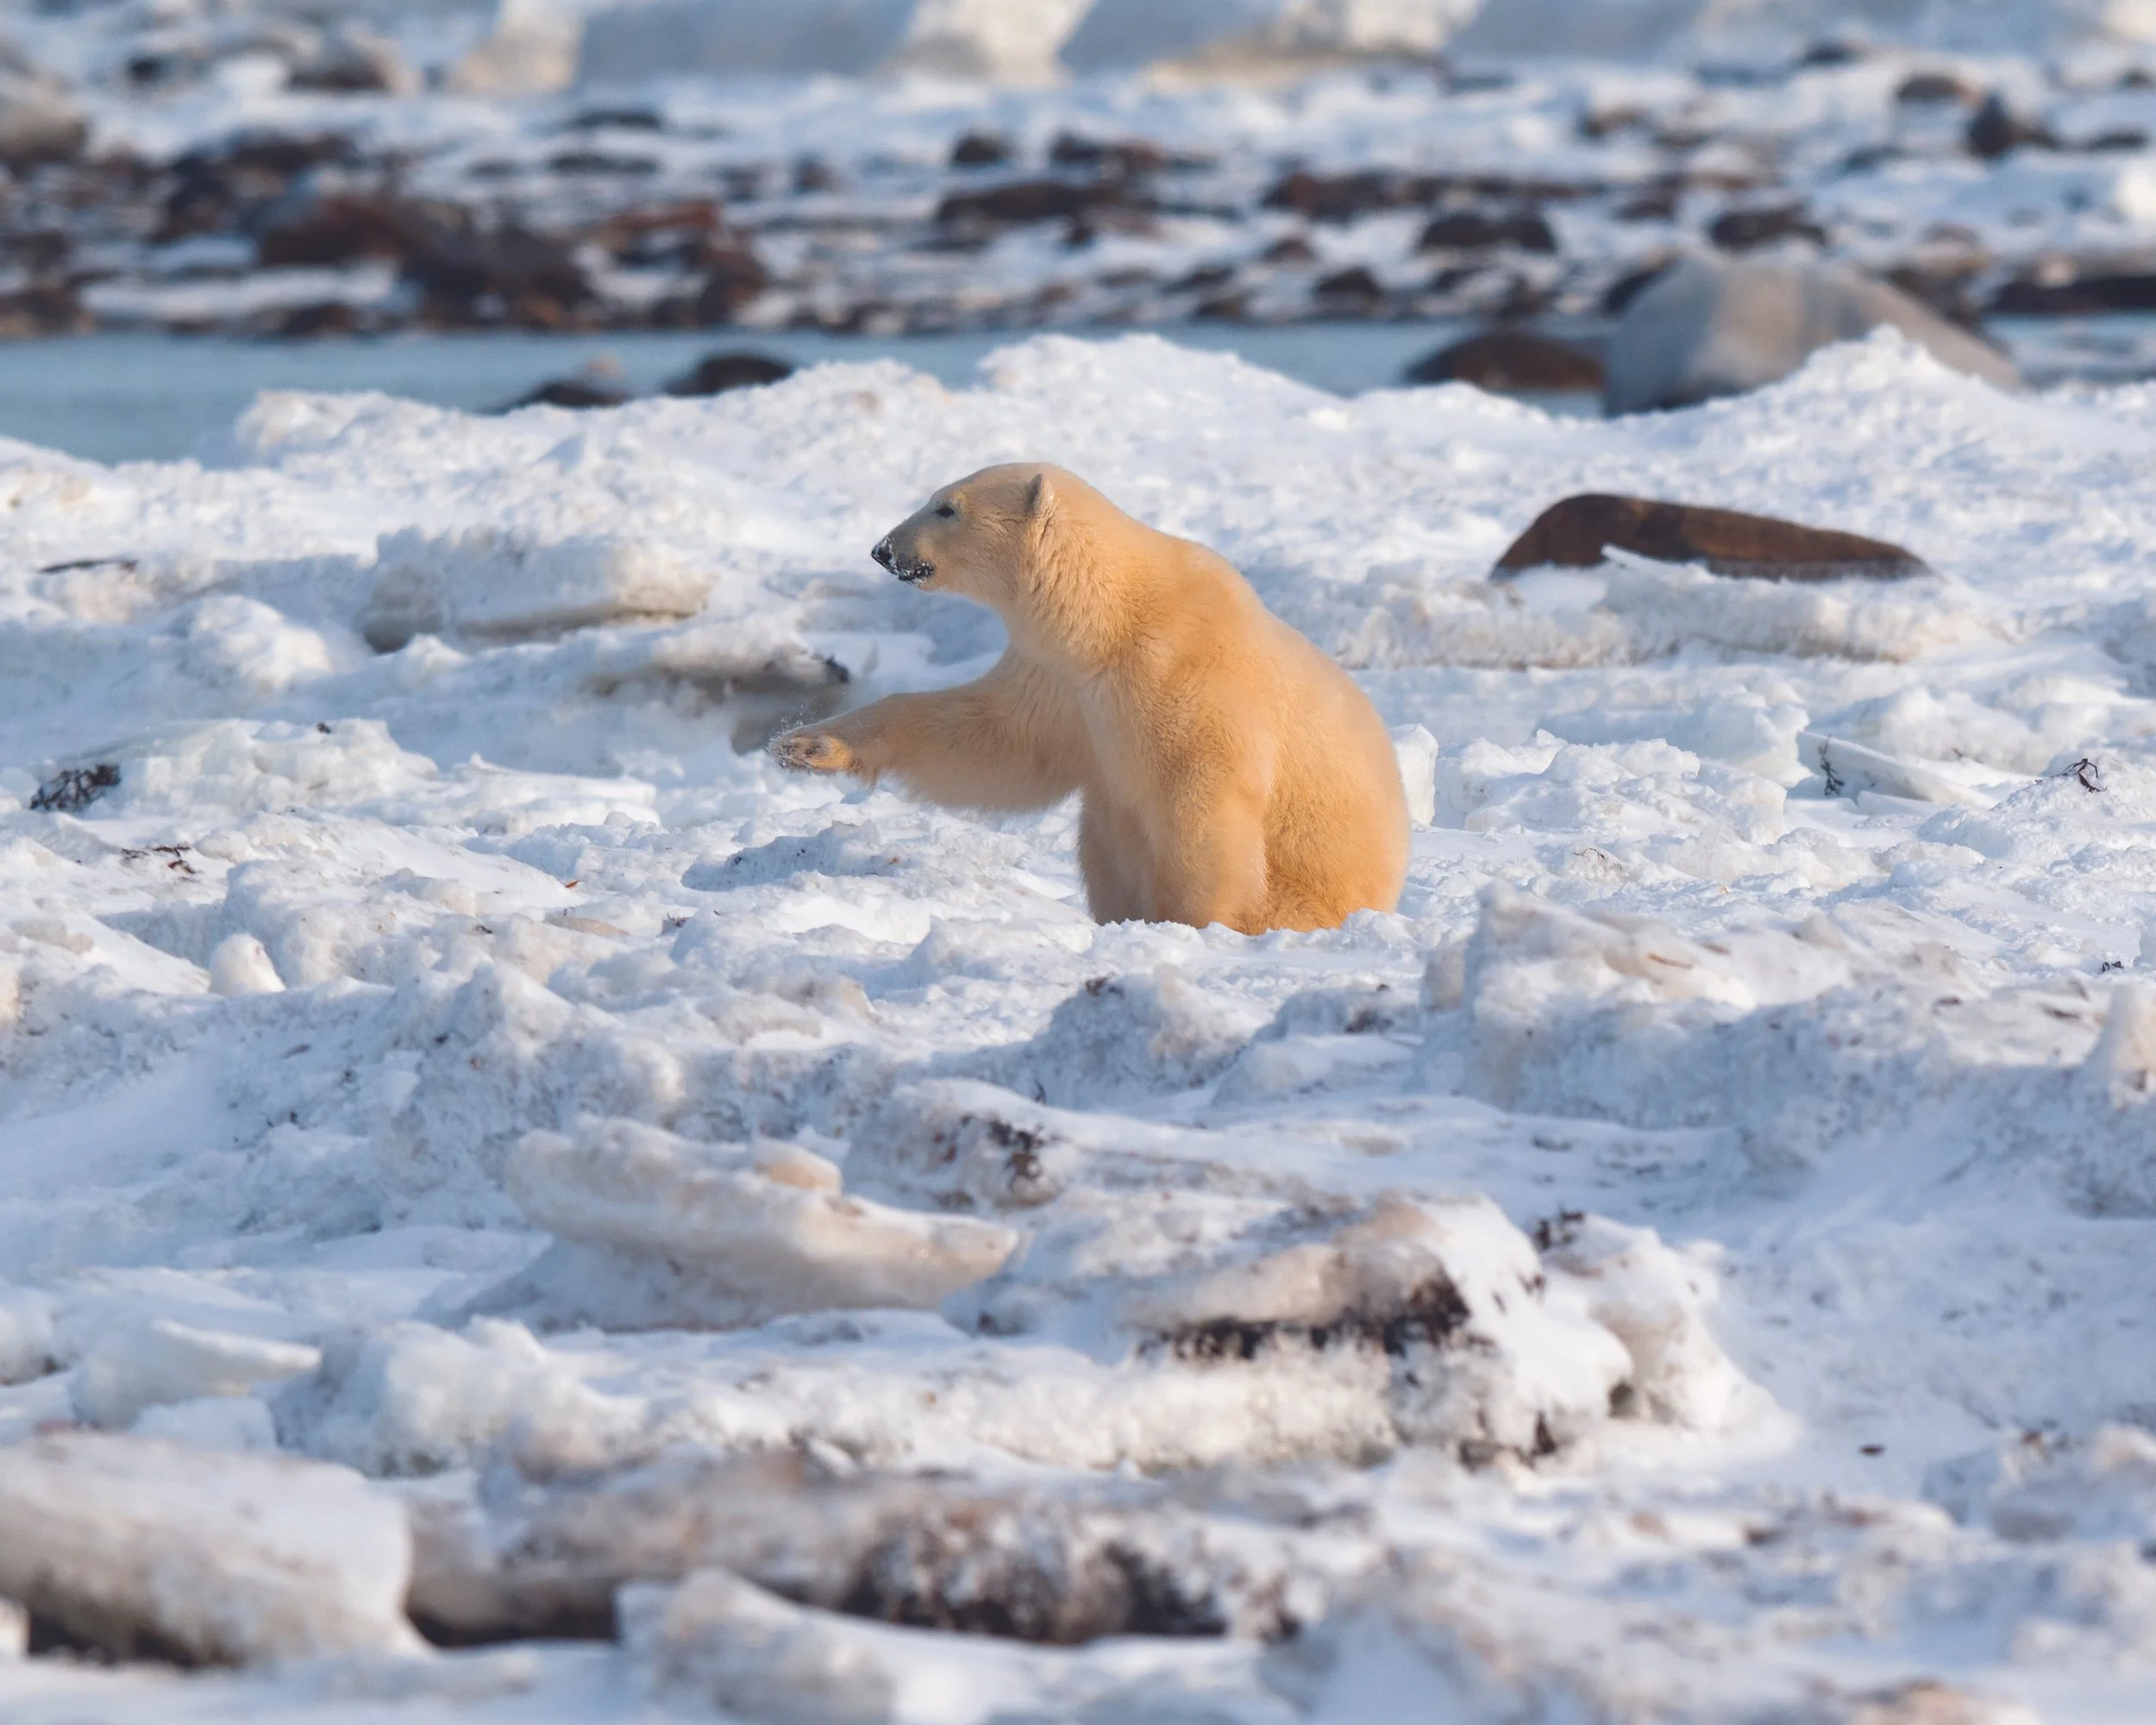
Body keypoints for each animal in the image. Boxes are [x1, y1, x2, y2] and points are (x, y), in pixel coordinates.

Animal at [771, 463, 1409, 936]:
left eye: (947, 507)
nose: (883, 550)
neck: (1118, 614)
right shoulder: (1061, 683)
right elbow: (991, 739)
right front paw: (805, 745)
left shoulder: (1190, 675)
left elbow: (1204, 799)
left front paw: (1188, 923)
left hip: (1305, 896)